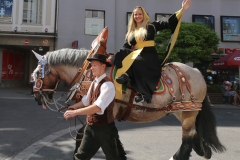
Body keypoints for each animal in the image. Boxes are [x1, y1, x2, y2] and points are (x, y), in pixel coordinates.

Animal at [33, 48, 225, 160]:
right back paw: (203, 150)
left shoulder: (107, 109)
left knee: (187, 136)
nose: (36, 97)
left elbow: (90, 133)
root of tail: (196, 71)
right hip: (183, 110)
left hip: (188, 111)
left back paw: (179, 156)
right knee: (193, 133)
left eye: (37, 73)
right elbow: (108, 136)